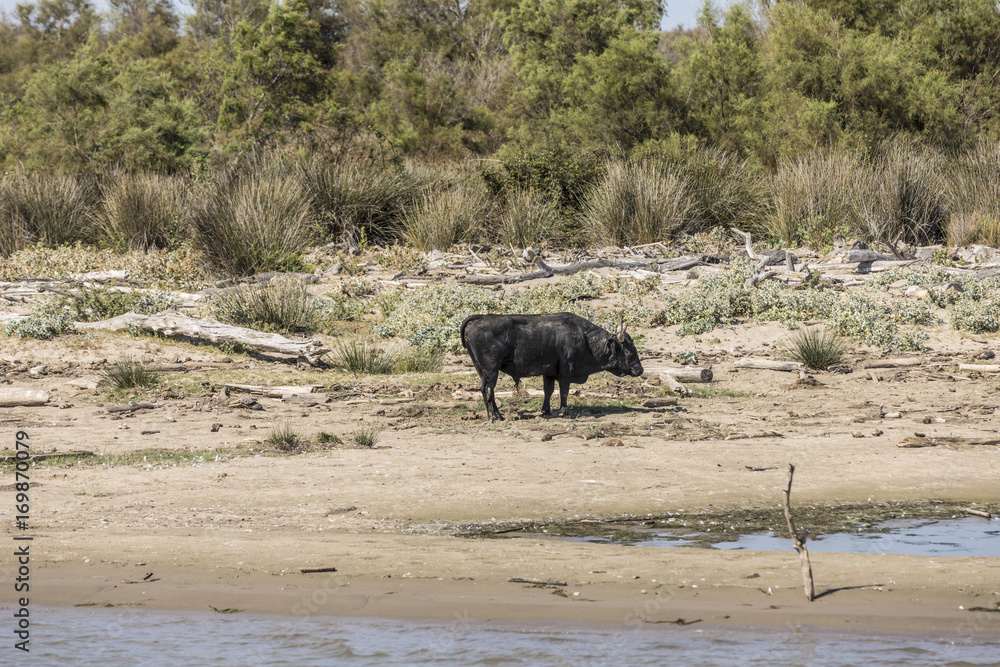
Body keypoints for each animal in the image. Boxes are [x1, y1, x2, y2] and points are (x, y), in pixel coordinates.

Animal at [460, 312, 643, 421]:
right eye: (628, 350)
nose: (640, 369)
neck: (585, 338)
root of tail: (480, 318)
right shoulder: (566, 372)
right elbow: (564, 391)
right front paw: (564, 412)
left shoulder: (548, 372)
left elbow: (548, 391)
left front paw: (546, 411)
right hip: (491, 371)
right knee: (487, 389)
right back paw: (495, 416)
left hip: (483, 370)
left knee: (487, 391)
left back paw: (495, 414)